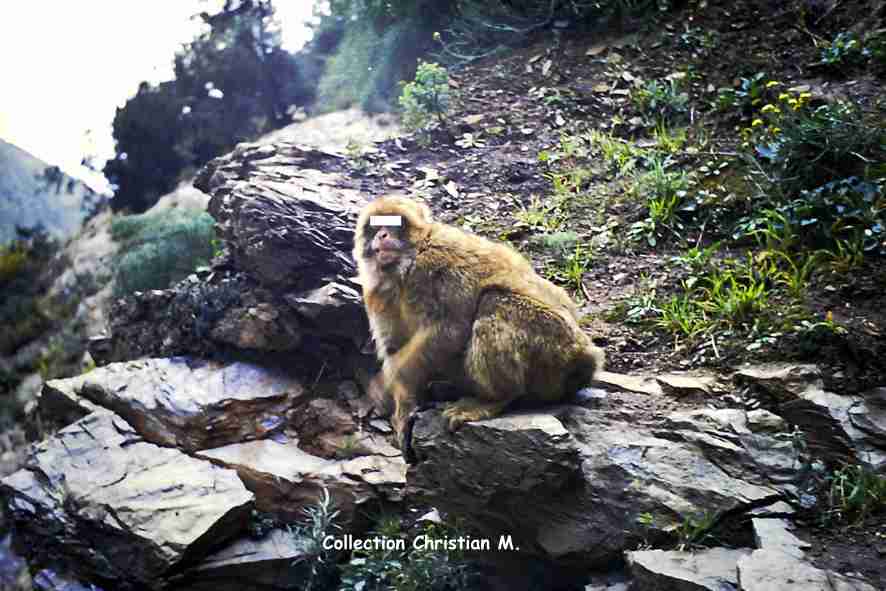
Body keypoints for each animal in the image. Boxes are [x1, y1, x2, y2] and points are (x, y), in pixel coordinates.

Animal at [354, 197, 604, 456]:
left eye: (394, 222)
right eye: (372, 228)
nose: (381, 235)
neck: (405, 267)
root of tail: (588, 358)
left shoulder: (436, 262)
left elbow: (450, 328)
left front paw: (388, 381)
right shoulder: (376, 292)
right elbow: (394, 345)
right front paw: (403, 409)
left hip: (559, 351)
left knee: (492, 301)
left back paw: (495, 398)